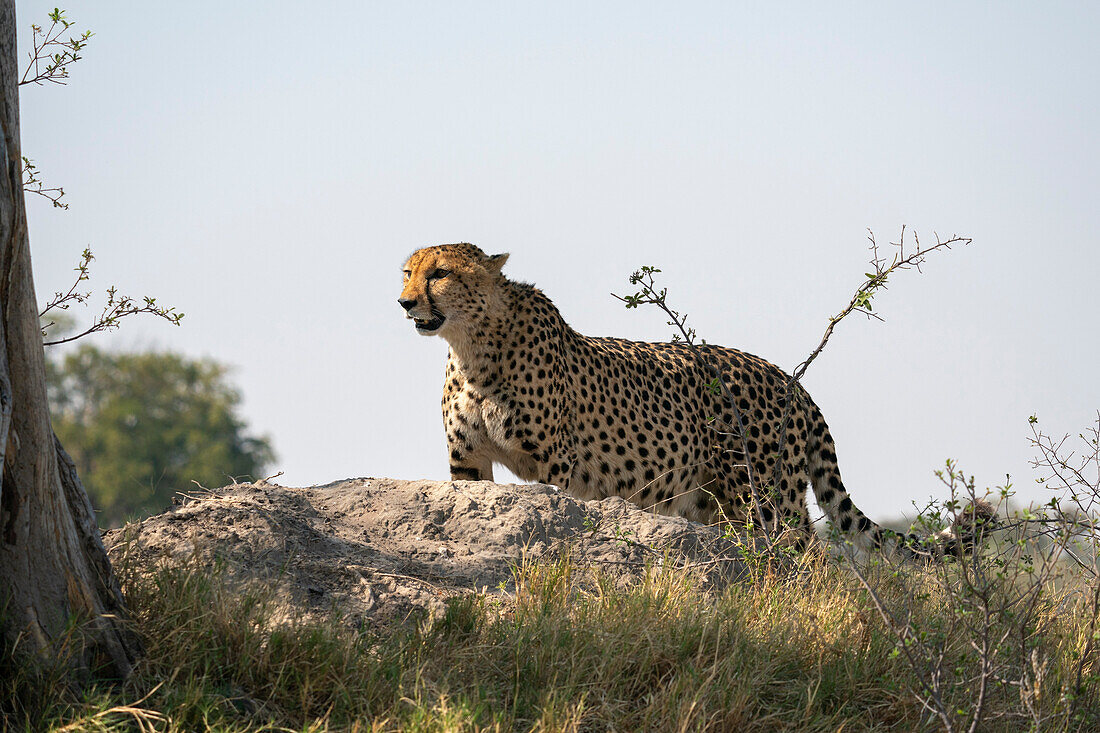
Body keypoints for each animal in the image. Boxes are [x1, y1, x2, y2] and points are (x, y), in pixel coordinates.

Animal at [400, 242, 994, 550]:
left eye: (441, 273)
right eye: (408, 271)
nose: (404, 302)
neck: (474, 346)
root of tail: (789, 377)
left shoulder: (555, 466)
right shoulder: (467, 463)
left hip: (763, 495)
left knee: (806, 556)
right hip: (722, 501)